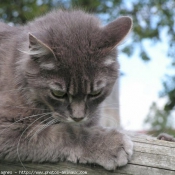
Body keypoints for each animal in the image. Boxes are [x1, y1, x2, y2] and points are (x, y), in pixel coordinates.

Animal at [0, 9, 133, 170]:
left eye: (95, 92)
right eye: (58, 93)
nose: (78, 117)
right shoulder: (7, 128)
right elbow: (65, 132)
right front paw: (108, 144)